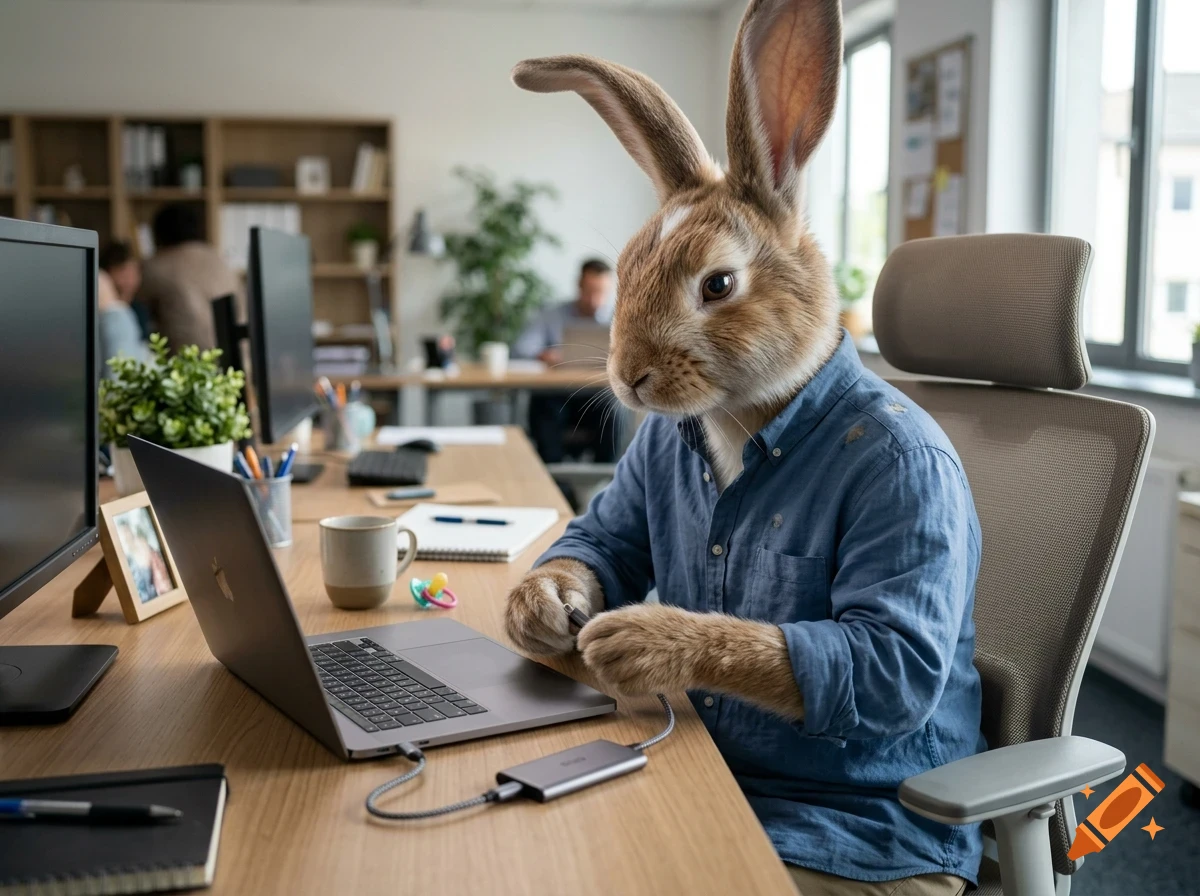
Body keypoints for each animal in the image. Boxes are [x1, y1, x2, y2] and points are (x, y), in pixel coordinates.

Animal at [502, 0, 845, 718]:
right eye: (625, 272)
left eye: (718, 284)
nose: (628, 377)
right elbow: (595, 540)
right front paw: (541, 607)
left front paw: (638, 640)